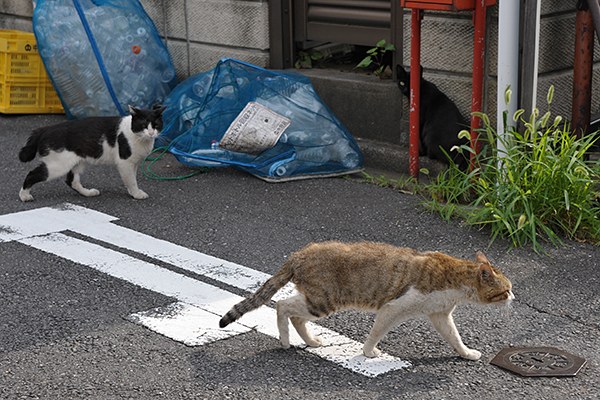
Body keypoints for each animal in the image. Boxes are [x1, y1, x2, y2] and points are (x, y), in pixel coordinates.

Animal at [18, 104, 165, 202]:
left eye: (156, 125)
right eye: (143, 125)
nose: (151, 133)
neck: (140, 138)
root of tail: (45, 129)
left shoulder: (134, 163)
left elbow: (131, 177)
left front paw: (132, 192)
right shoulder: (125, 162)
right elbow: (131, 180)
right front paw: (136, 193)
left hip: (77, 162)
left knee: (72, 181)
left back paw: (88, 193)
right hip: (57, 166)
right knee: (32, 174)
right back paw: (24, 196)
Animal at [220, 241, 510, 360]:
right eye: (506, 291)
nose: (514, 298)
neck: (457, 278)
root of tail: (299, 253)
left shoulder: (439, 315)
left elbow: (454, 338)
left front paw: (467, 354)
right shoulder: (393, 308)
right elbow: (376, 333)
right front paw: (370, 353)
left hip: (316, 299)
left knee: (295, 315)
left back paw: (311, 341)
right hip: (323, 301)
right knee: (283, 307)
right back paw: (284, 341)